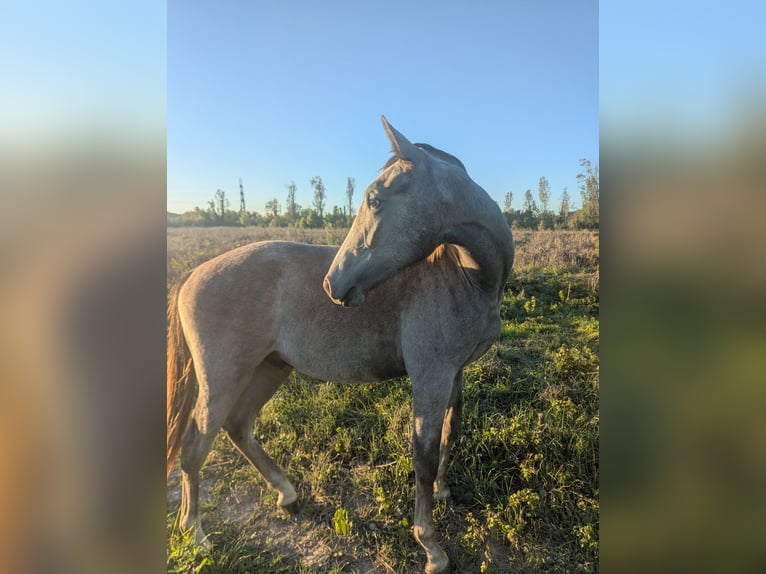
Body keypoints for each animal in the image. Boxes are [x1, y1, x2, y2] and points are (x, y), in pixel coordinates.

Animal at [166, 116, 515, 574]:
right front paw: (431, 546)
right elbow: (422, 454)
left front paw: (443, 491)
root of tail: (192, 275)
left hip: (270, 368)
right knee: (194, 450)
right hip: (223, 380)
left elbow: (450, 432)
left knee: (239, 427)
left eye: (375, 199)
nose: (333, 284)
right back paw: (196, 535)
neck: (467, 276)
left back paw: (287, 495)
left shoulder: (454, 373)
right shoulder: (431, 377)